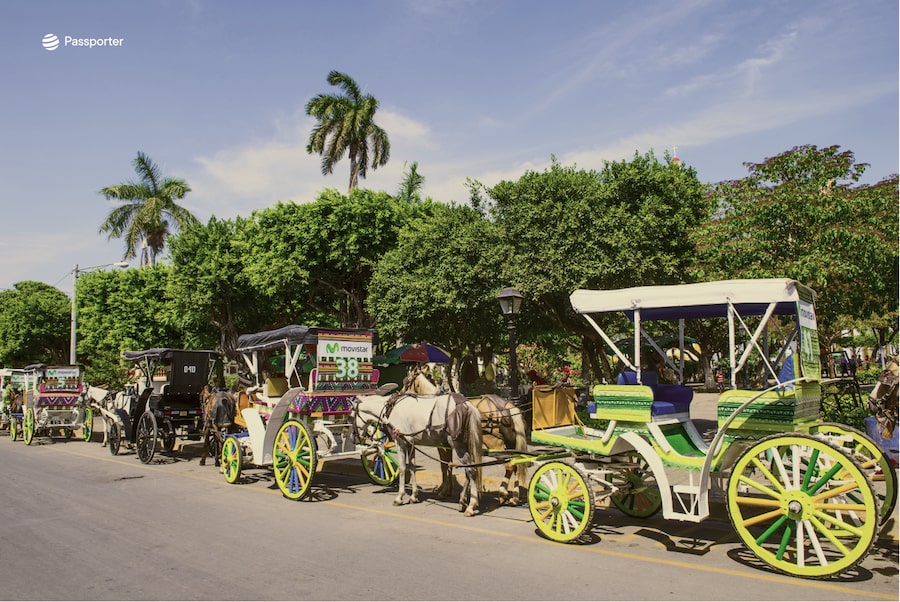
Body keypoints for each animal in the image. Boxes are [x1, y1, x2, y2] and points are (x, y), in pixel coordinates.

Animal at [356, 382, 486, 512]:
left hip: (457, 445)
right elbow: (412, 467)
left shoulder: (400, 441)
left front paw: (399, 497)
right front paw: (414, 496)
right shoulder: (410, 443)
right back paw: (463, 501)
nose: (355, 437)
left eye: (352, 414)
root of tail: (467, 404)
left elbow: (403, 468)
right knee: (470, 469)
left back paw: (471, 505)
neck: (391, 408)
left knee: (471, 470)